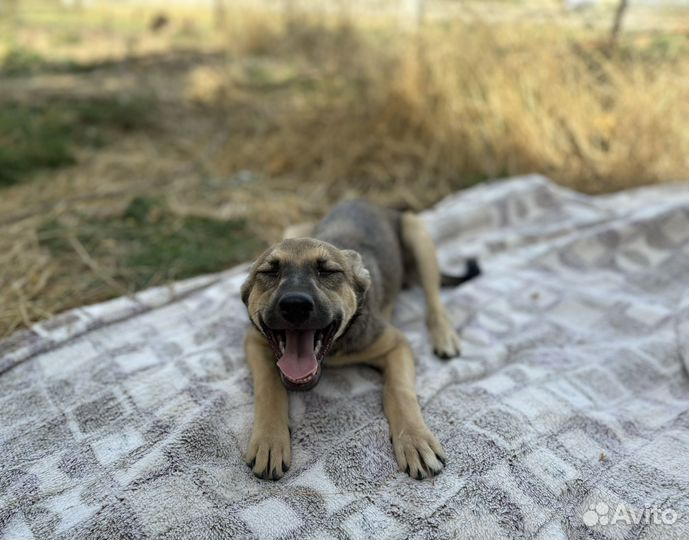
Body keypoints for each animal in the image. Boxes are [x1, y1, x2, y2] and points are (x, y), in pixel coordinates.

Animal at [241, 199, 478, 480]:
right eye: (268, 272)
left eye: (328, 271)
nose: (295, 305)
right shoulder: (255, 341)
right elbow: (269, 387)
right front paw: (269, 439)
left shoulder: (395, 343)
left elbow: (399, 390)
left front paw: (415, 438)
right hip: (294, 227)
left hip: (417, 234)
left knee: (434, 298)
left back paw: (443, 334)